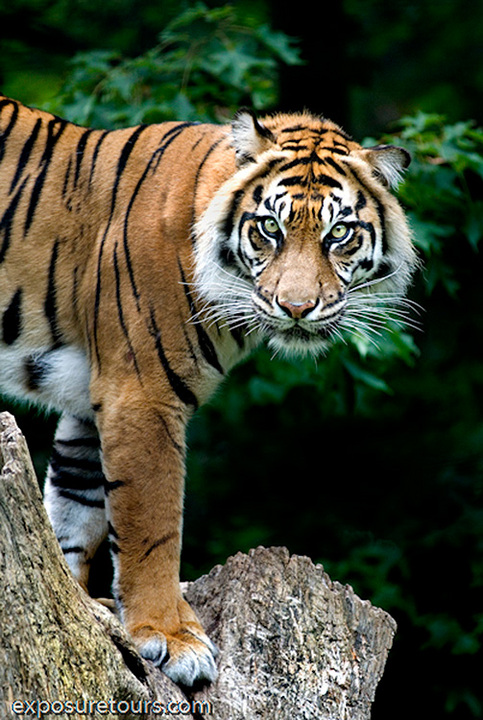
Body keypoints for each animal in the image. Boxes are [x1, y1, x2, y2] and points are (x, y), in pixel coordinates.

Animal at [0, 95, 417, 686]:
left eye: (339, 234)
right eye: (269, 228)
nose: (296, 307)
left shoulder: (88, 402)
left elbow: (73, 512)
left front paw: (82, 616)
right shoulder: (141, 394)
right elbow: (150, 526)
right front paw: (169, 637)